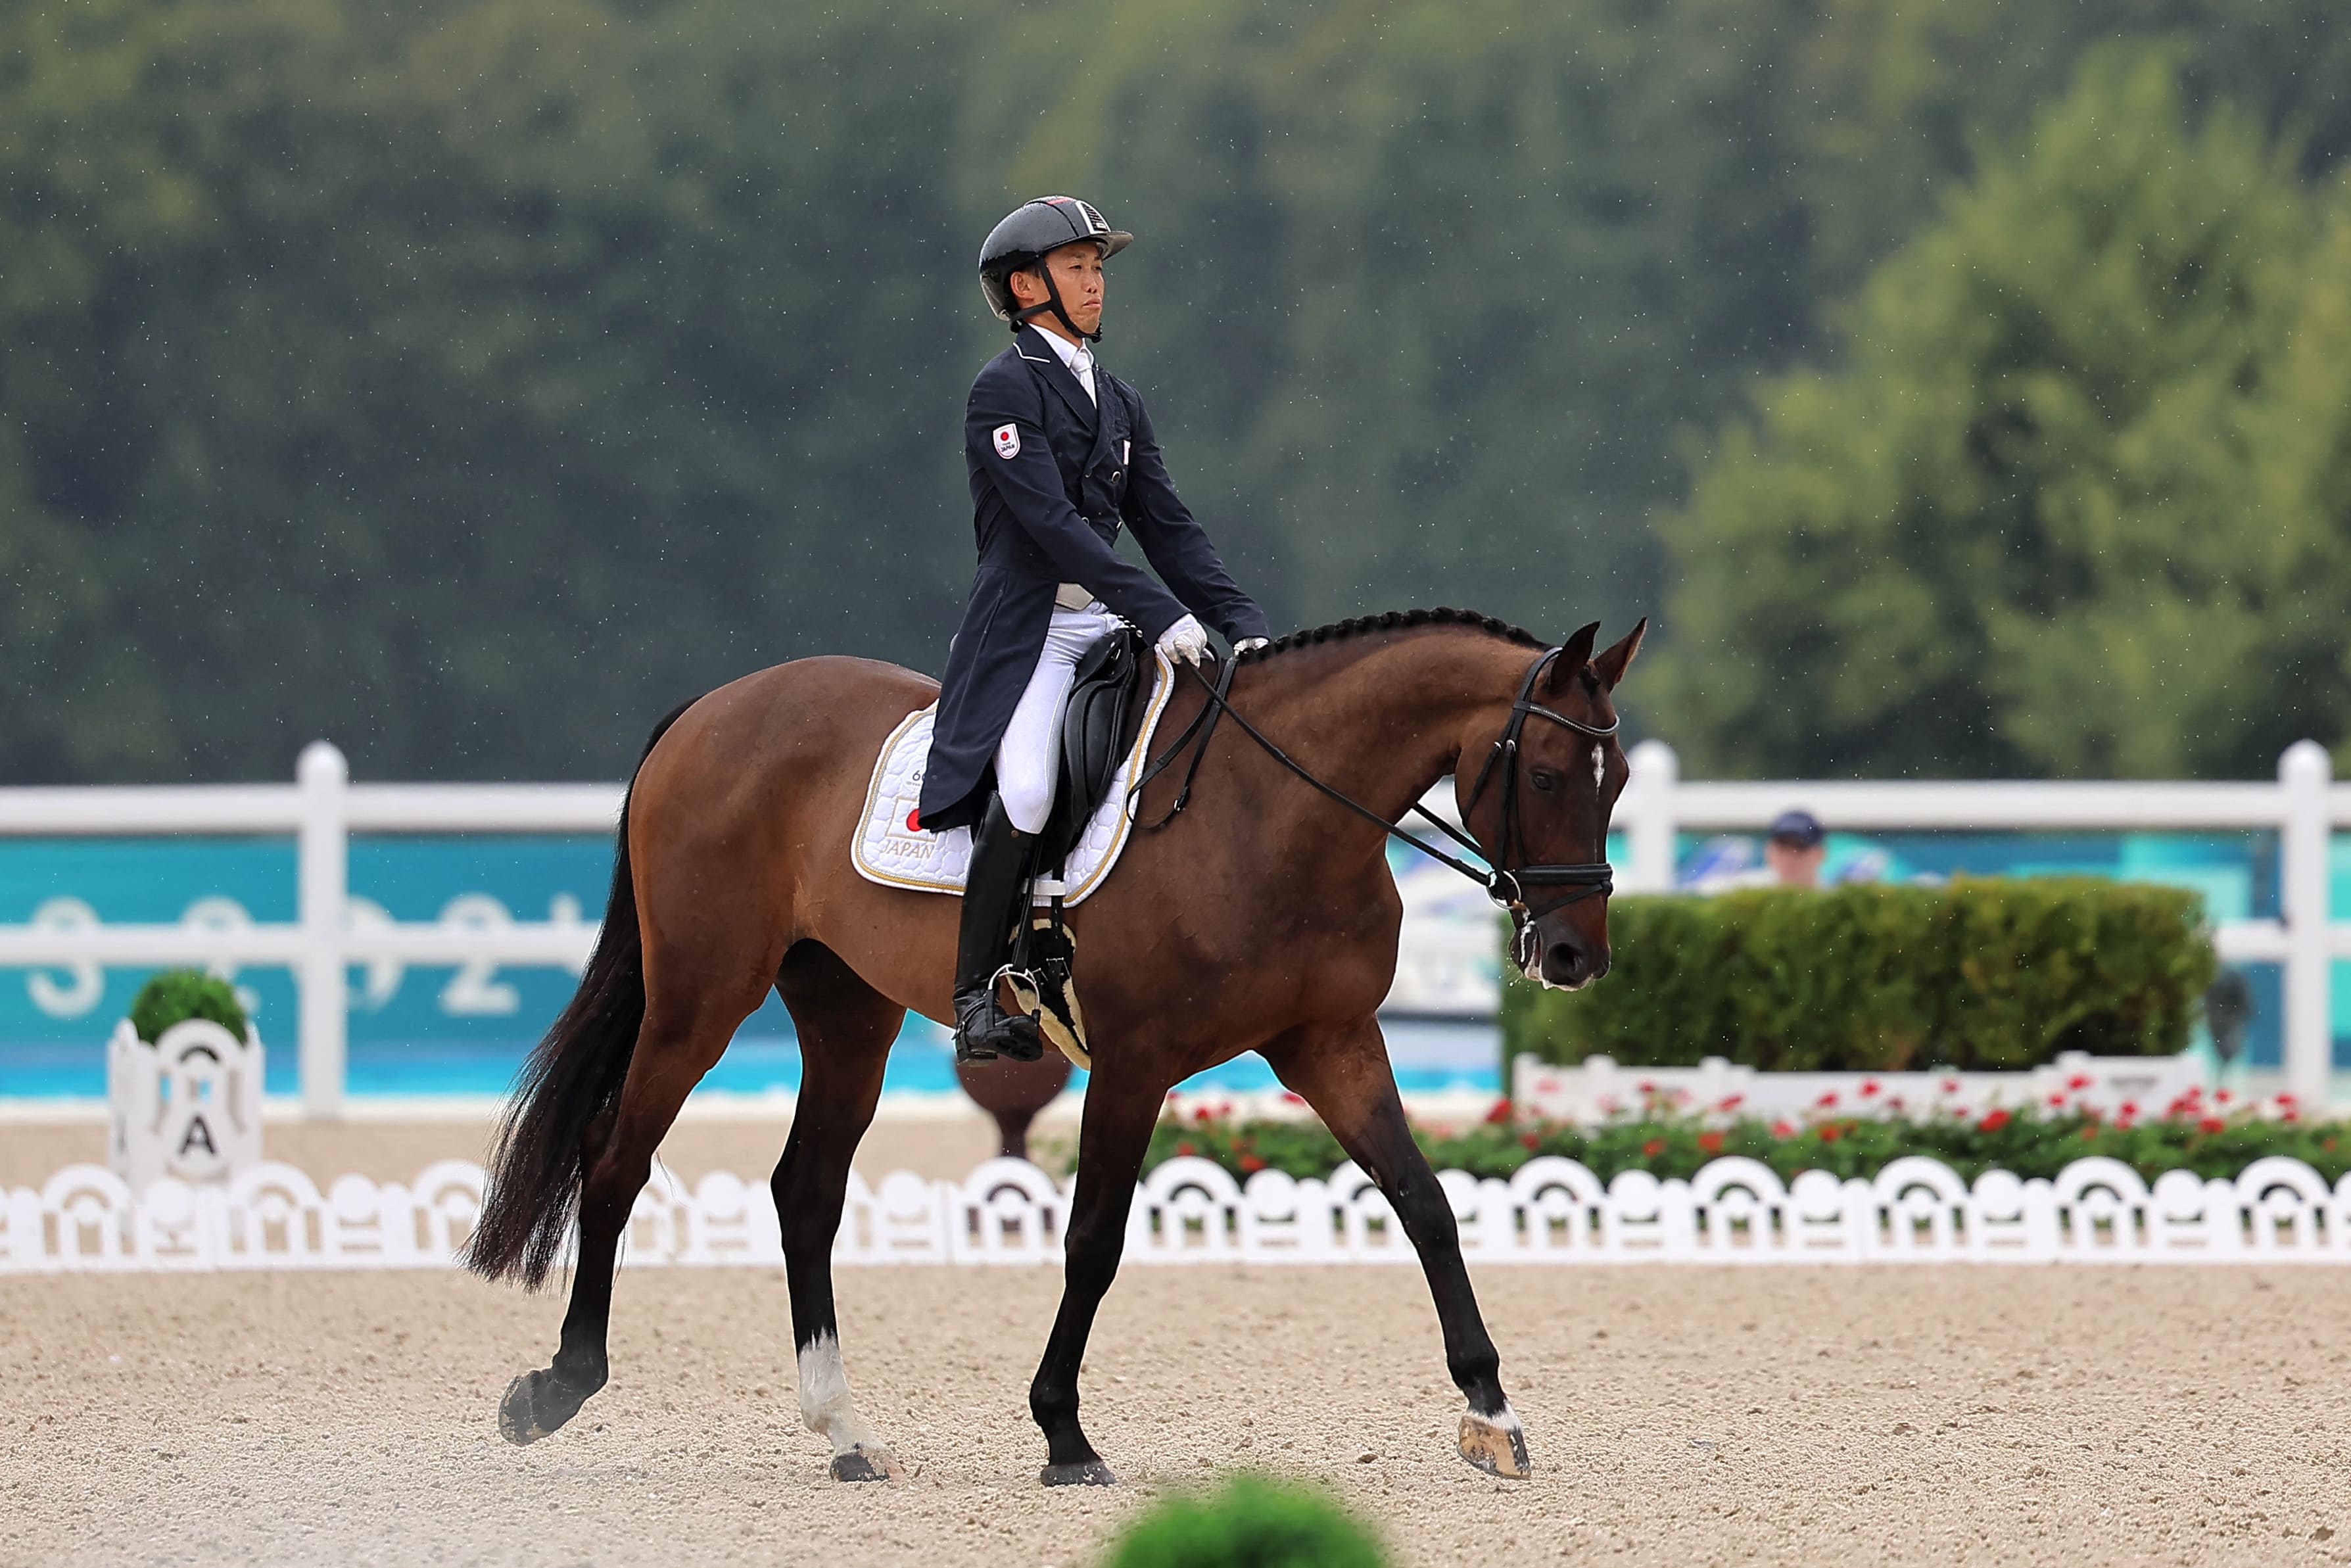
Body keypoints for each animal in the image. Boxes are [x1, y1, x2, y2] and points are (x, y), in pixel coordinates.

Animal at [465, 605, 1644, 1486]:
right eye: (1547, 775)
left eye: (1620, 781)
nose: (1576, 956)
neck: (1275, 813)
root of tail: (712, 708)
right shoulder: (1134, 1064)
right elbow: (1095, 1241)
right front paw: (1064, 1435)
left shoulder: (1331, 1042)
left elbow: (1424, 1202)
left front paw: (1493, 1411)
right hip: (702, 994)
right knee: (618, 1154)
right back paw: (557, 1387)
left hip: (847, 1012)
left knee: (805, 1190)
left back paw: (844, 1432)